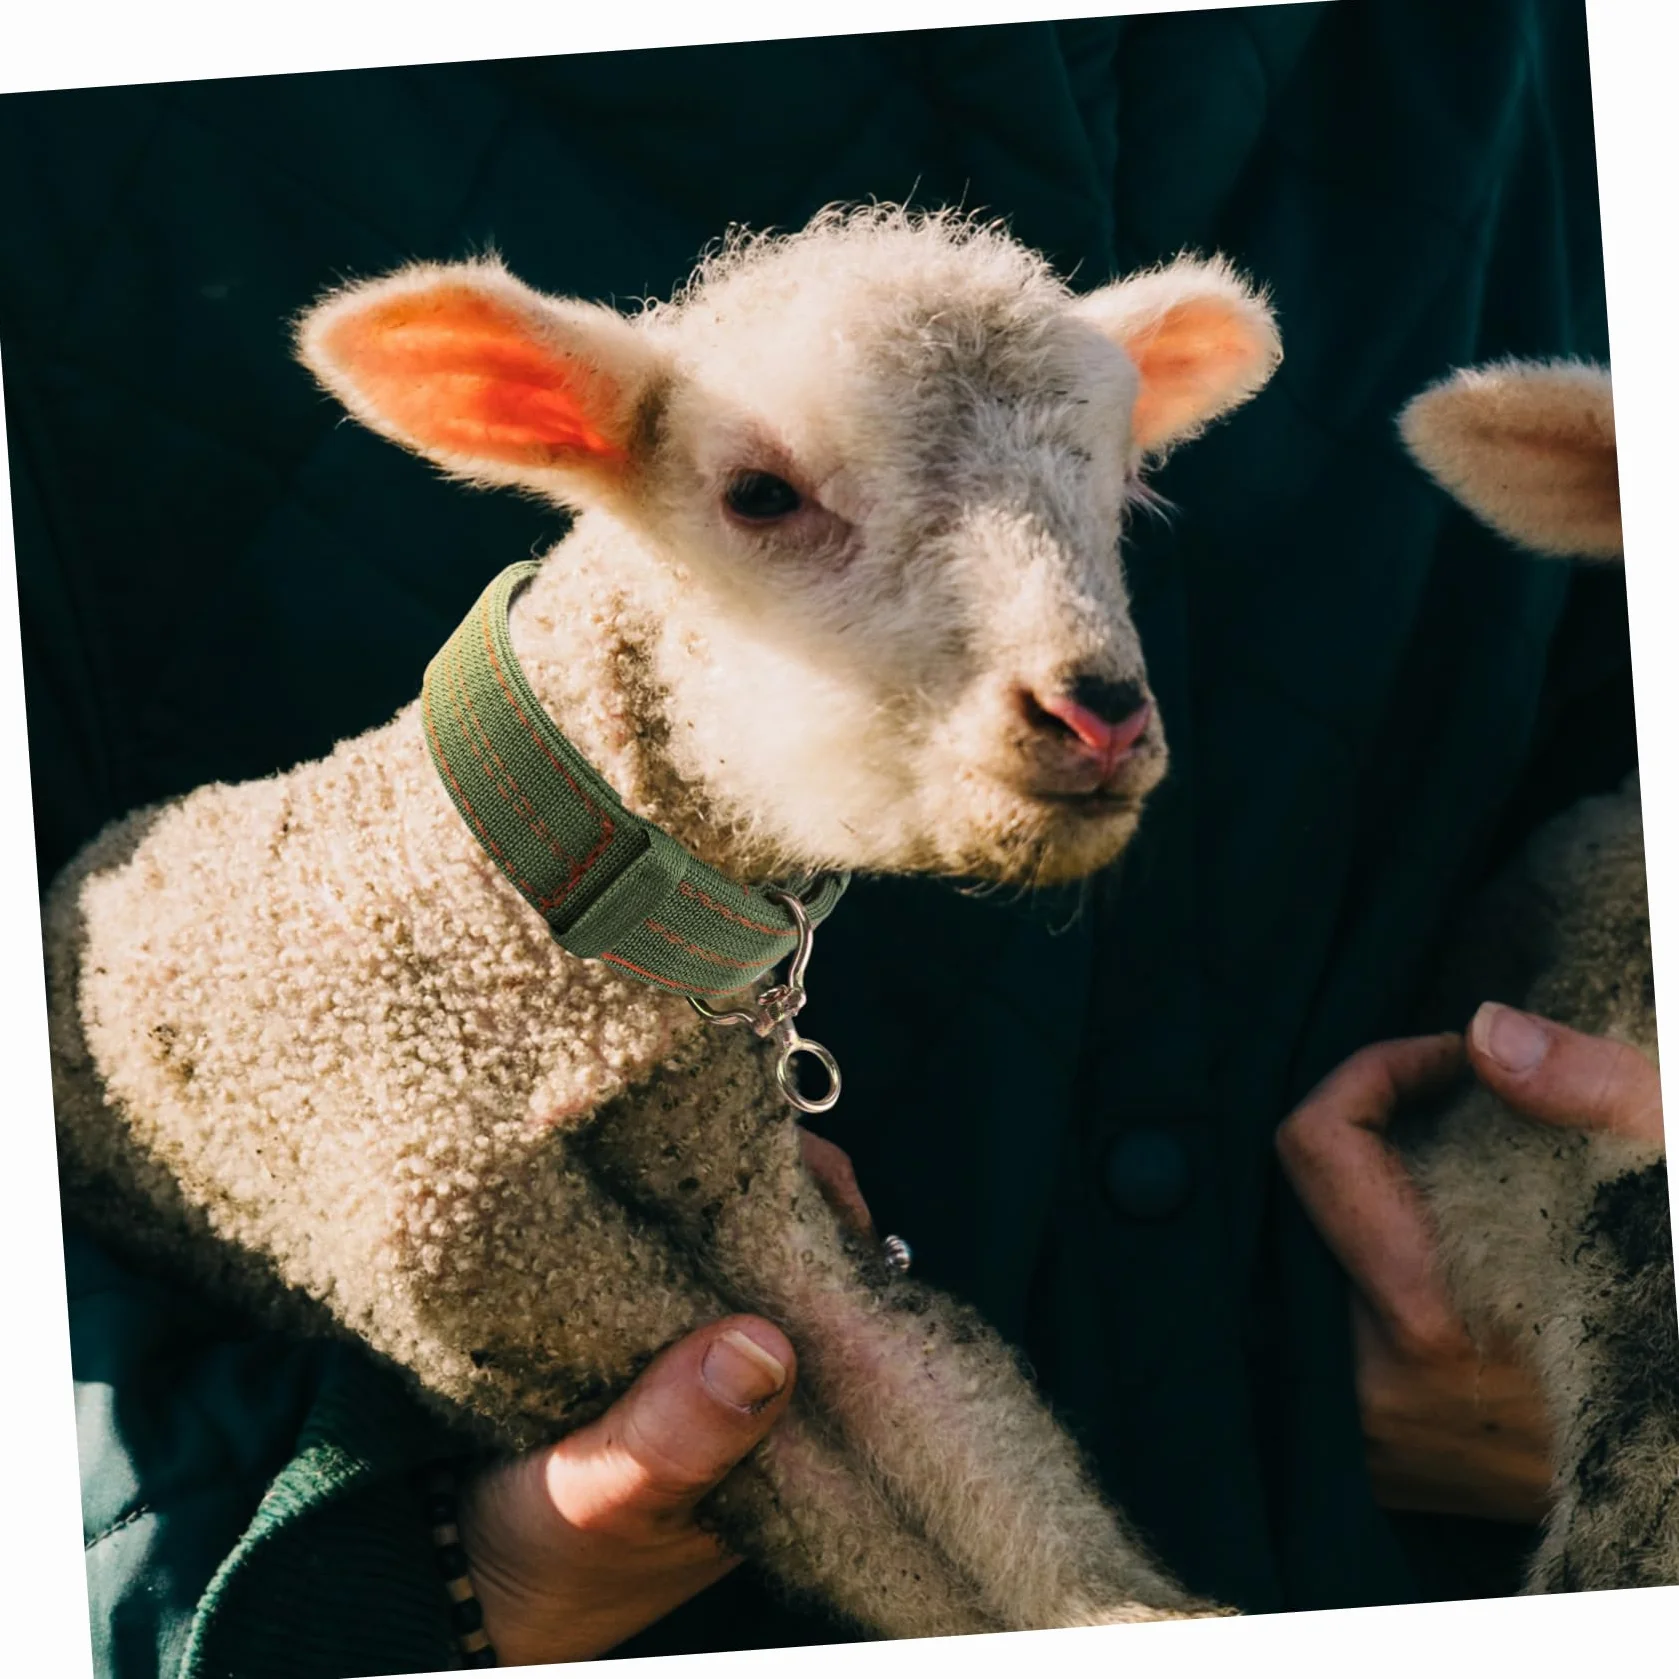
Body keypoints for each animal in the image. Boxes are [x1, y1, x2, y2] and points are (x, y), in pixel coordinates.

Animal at [45, 205, 1283, 1640]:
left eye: (1113, 484)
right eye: (759, 494)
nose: (1096, 711)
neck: (521, 935)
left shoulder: (748, 1188)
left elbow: (947, 1409)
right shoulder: (495, 1281)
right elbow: (833, 1492)